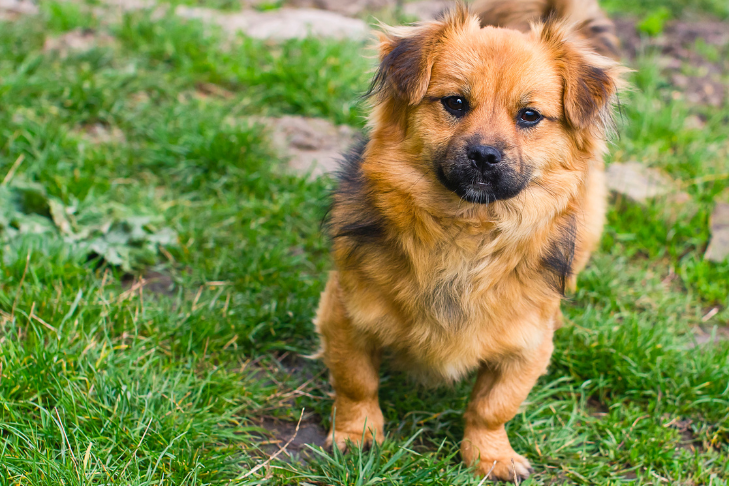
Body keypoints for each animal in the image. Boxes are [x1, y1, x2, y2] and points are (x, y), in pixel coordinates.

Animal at [310, 0, 624, 478]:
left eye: (529, 115)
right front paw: (356, 435)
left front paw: (489, 454)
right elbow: (356, 382)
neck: (467, 229)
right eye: (455, 103)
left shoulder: (526, 347)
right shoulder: (344, 314)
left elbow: (493, 406)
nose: (484, 155)